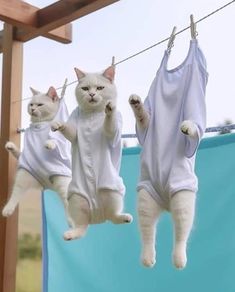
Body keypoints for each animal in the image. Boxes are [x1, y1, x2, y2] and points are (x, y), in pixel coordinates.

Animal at [2, 85, 71, 225]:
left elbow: (55, 141)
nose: (32, 109)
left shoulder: (61, 140)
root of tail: (48, 185)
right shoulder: (23, 158)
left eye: (40, 105)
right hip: (24, 175)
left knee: (68, 206)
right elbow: (18, 153)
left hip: (62, 183)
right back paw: (7, 209)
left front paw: (49, 144)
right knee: (16, 193)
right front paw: (10, 146)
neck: (40, 125)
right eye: (31, 104)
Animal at [51, 65, 132, 240]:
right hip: (77, 200)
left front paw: (109, 109)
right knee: (82, 226)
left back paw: (124, 217)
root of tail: (98, 217)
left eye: (100, 88)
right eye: (85, 88)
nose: (92, 94)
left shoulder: (113, 131)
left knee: (113, 217)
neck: (94, 113)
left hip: (112, 194)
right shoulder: (74, 130)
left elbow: (110, 125)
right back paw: (71, 234)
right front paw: (58, 124)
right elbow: (69, 130)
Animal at [129, 93, 199, 270]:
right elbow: (142, 116)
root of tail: (166, 205)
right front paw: (136, 102)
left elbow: (193, 130)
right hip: (146, 197)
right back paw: (148, 259)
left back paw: (179, 260)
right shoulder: (146, 123)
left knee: (181, 232)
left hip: (182, 197)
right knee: (148, 233)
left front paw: (187, 127)